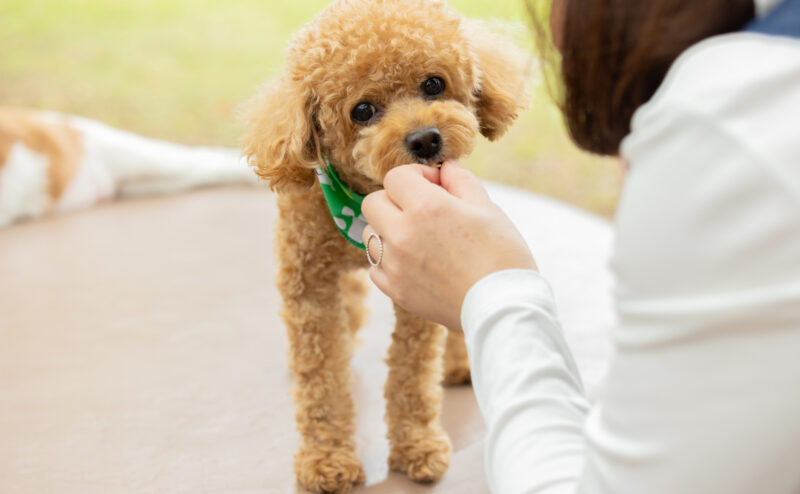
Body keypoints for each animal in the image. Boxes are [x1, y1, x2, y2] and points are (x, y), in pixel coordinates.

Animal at [242, 1, 532, 492]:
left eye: (433, 84)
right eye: (362, 110)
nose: (425, 139)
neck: (362, 199)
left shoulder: (420, 288)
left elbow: (412, 374)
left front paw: (417, 445)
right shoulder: (309, 282)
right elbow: (323, 377)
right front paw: (327, 459)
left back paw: (459, 362)